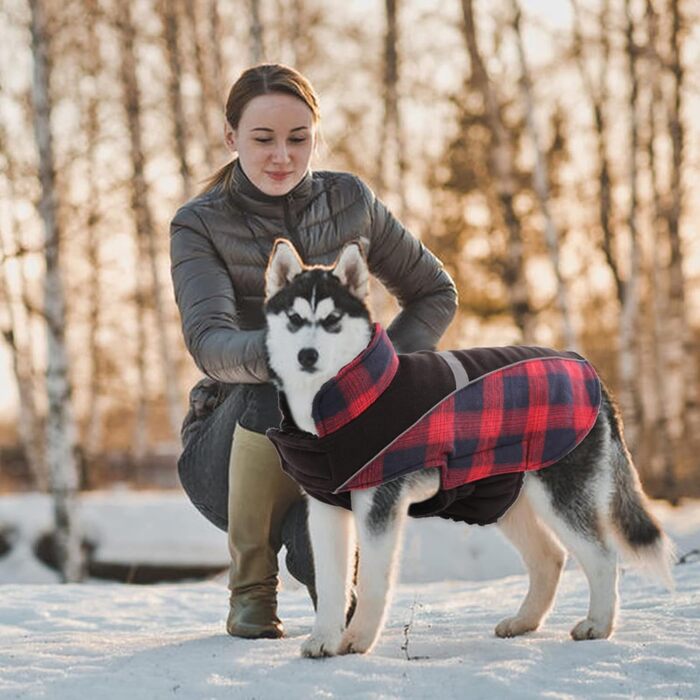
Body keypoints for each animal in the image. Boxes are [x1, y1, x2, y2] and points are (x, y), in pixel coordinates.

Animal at [262, 239, 672, 656]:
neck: (343, 398)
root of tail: (586, 367)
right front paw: (324, 639)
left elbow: (374, 582)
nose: (307, 356)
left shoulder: (379, 502)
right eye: (294, 318)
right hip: (504, 499)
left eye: (332, 320)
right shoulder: (326, 506)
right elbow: (331, 583)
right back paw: (524, 622)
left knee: (602, 557)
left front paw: (357, 640)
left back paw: (598, 625)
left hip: (562, 495)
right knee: (549, 558)